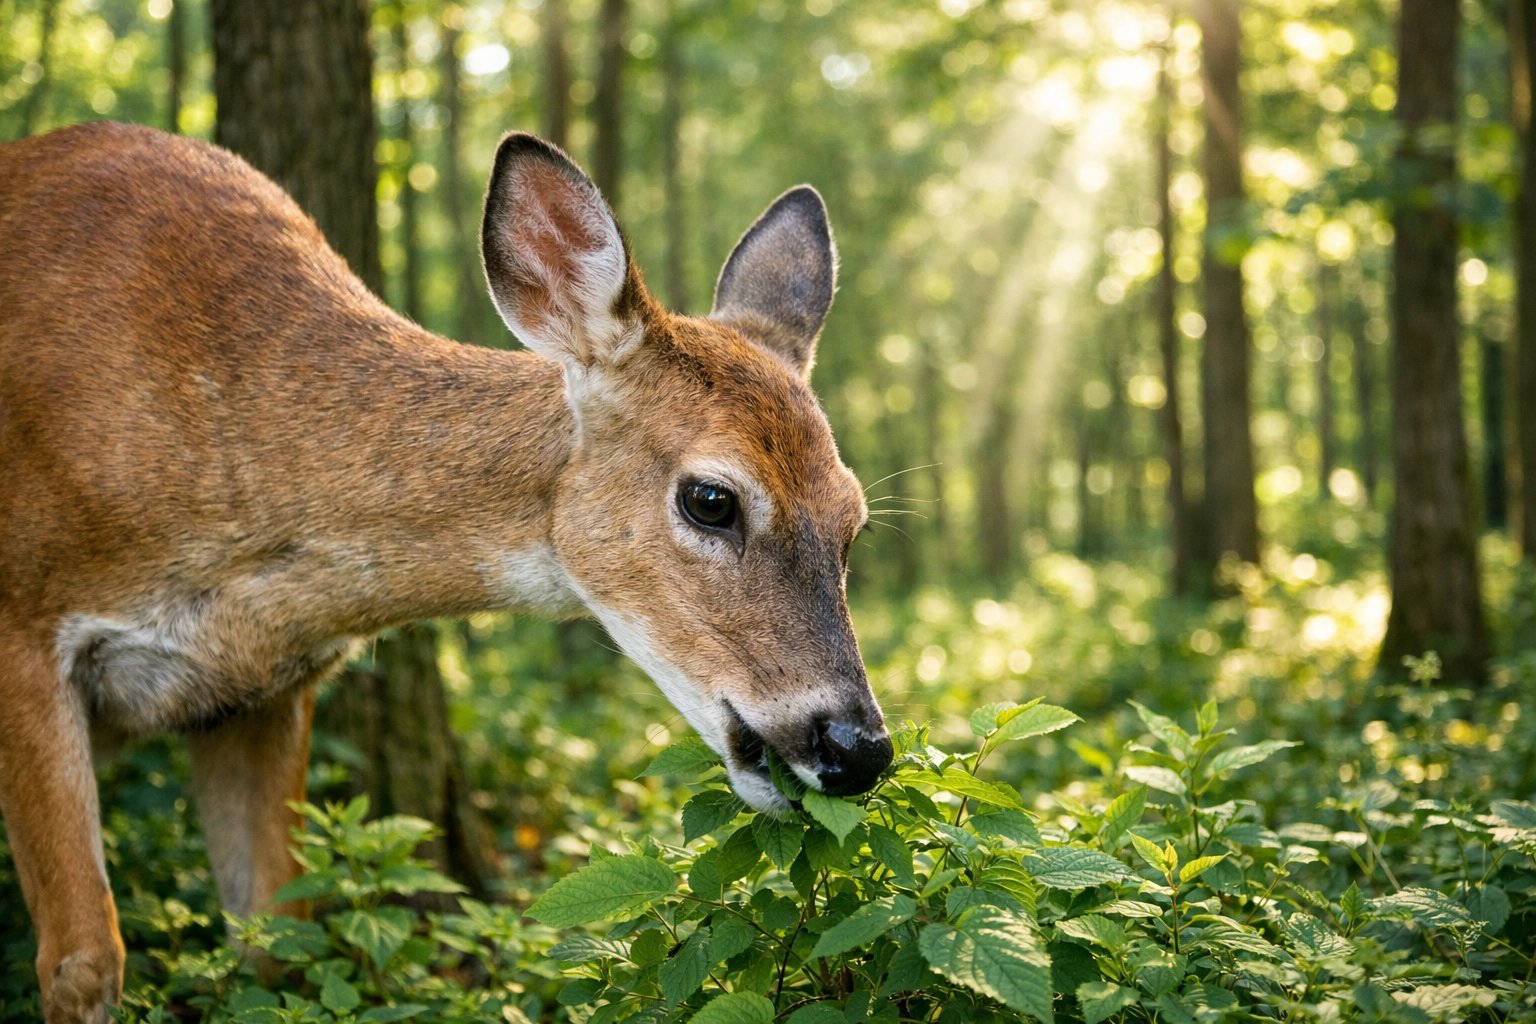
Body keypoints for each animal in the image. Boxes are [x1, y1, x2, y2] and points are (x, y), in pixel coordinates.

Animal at [0, 121, 893, 1023]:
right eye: (711, 498)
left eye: (853, 522)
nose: (858, 748)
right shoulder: (22, 630)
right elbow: (84, 959)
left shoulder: (259, 693)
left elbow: (279, 942)